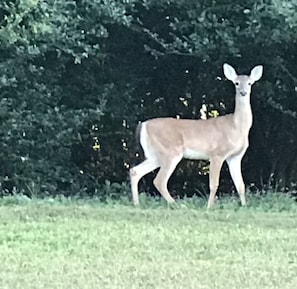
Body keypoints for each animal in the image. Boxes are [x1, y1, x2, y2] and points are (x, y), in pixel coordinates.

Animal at [129, 63, 262, 207]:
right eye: (236, 83)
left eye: (249, 83)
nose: (243, 92)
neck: (236, 127)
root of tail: (143, 125)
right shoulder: (217, 153)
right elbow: (214, 184)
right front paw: (209, 207)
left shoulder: (235, 157)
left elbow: (240, 185)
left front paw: (244, 205)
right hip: (170, 151)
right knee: (159, 180)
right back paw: (177, 205)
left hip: (155, 154)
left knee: (135, 171)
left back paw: (137, 204)